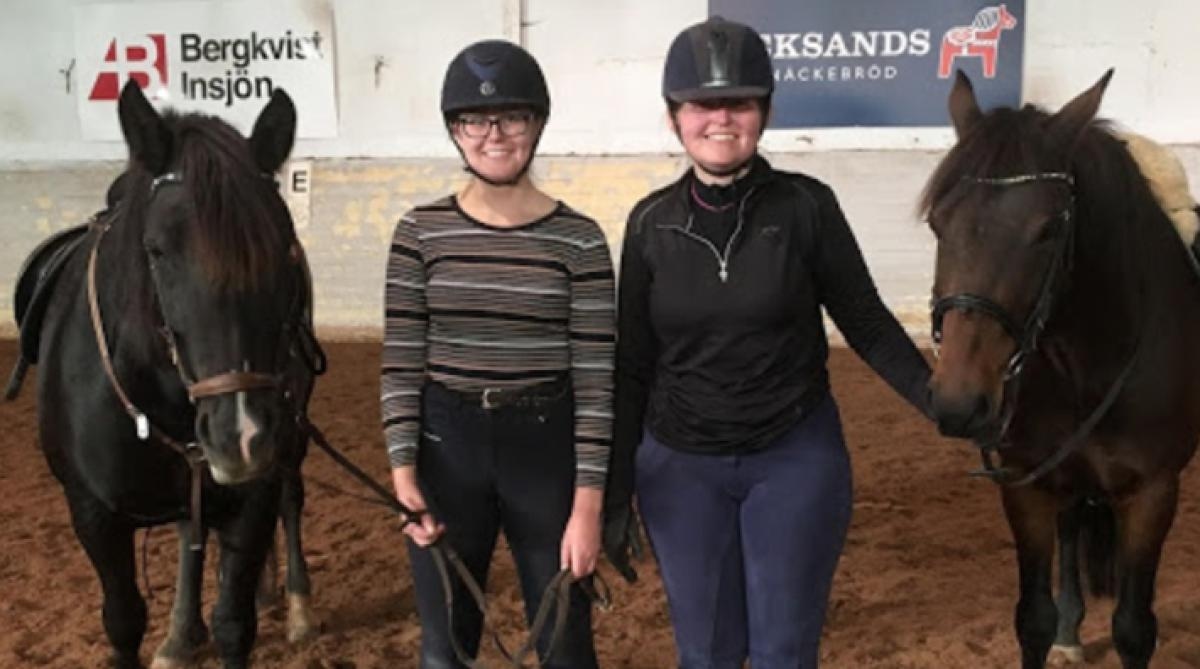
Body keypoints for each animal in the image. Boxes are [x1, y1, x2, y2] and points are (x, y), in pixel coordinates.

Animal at [23, 82, 324, 669]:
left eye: (281, 247)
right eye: (157, 250)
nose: (242, 438)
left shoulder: (252, 497)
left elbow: (235, 624)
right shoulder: (92, 516)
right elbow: (122, 621)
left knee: (290, 499)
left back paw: (297, 605)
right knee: (191, 528)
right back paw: (182, 634)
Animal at [921, 69, 1195, 669]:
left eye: (1047, 229)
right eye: (937, 222)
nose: (958, 401)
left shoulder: (1153, 492)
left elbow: (1134, 628)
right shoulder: (1026, 483)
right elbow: (1033, 619)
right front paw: (1058, 627)